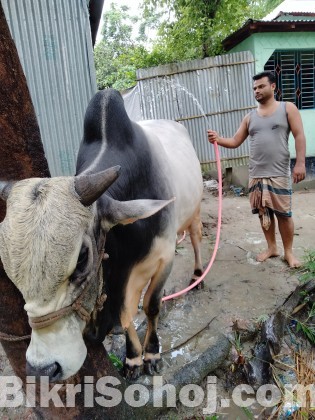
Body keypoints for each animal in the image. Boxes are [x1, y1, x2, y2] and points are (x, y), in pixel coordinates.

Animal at [0, 90, 204, 382]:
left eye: (82, 259)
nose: (43, 369)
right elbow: (127, 315)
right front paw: (132, 358)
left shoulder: (165, 259)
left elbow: (151, 307)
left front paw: (152, 354)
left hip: (194, 211)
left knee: (197, 239)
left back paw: (198, 275)